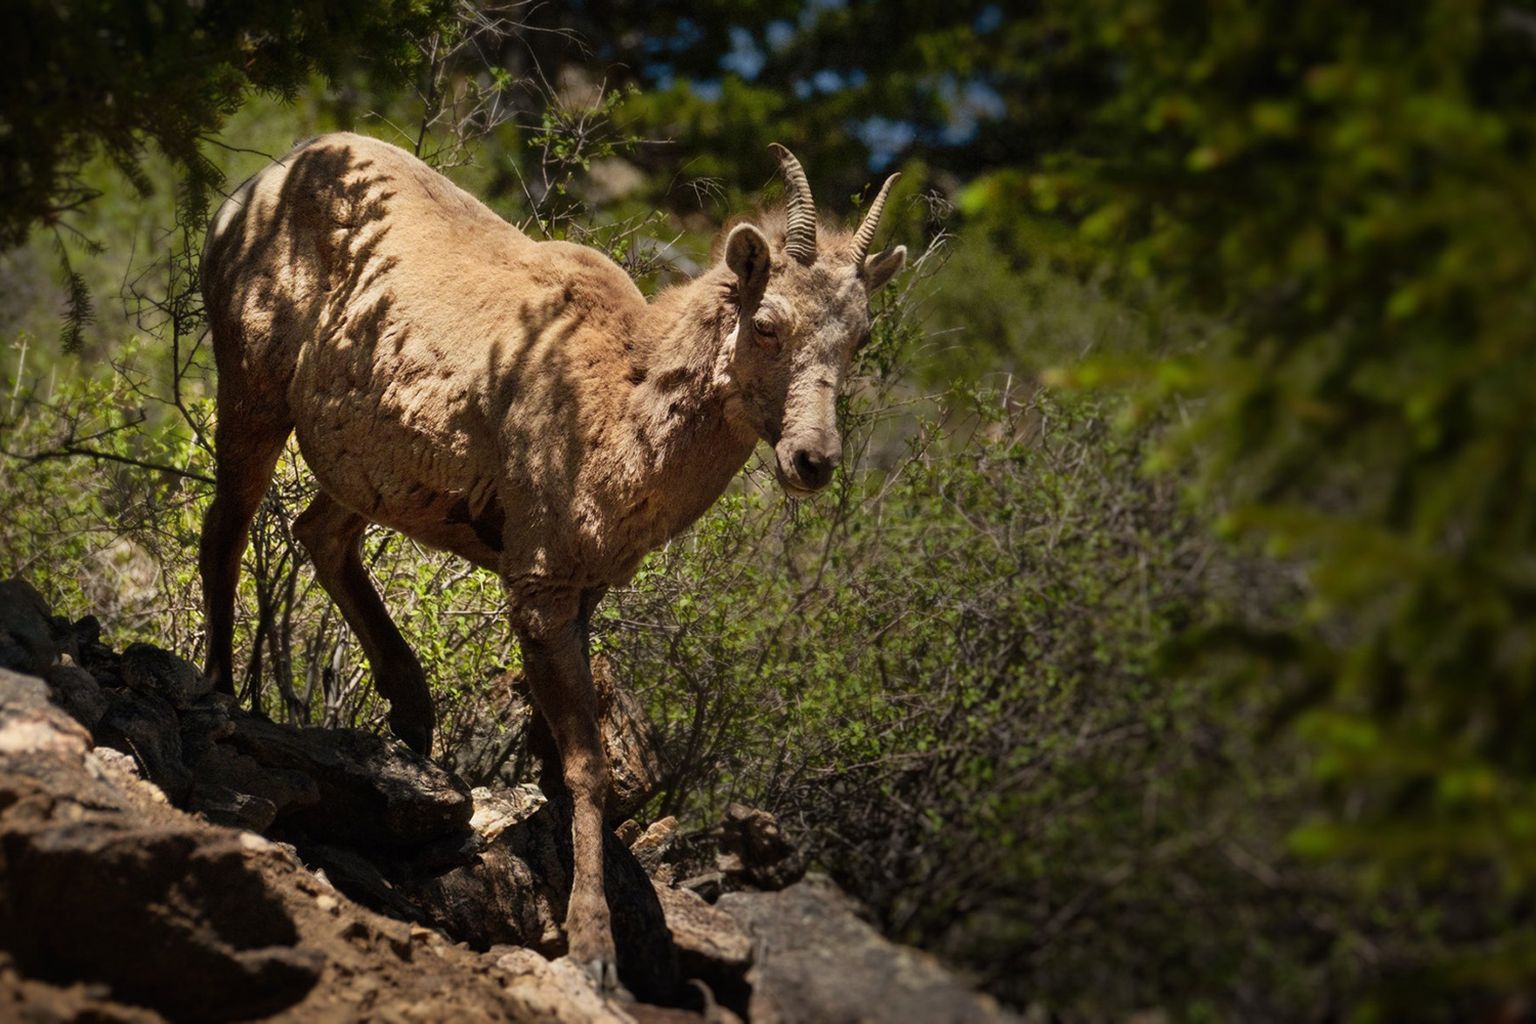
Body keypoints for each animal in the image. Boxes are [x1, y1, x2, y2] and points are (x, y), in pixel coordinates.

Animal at [198, 132, 905, 989]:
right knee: (226, 531)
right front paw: (594, 950)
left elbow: (558, 763)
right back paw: (220, 697)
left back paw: (413, 720)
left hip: (372, 471)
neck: (621, 422)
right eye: (767, 323)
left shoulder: (582, 587)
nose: (812, 460)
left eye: (860, 336)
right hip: (251, 383)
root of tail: (260, 184)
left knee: (320, 534)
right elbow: (588, 769)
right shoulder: (540, 582)